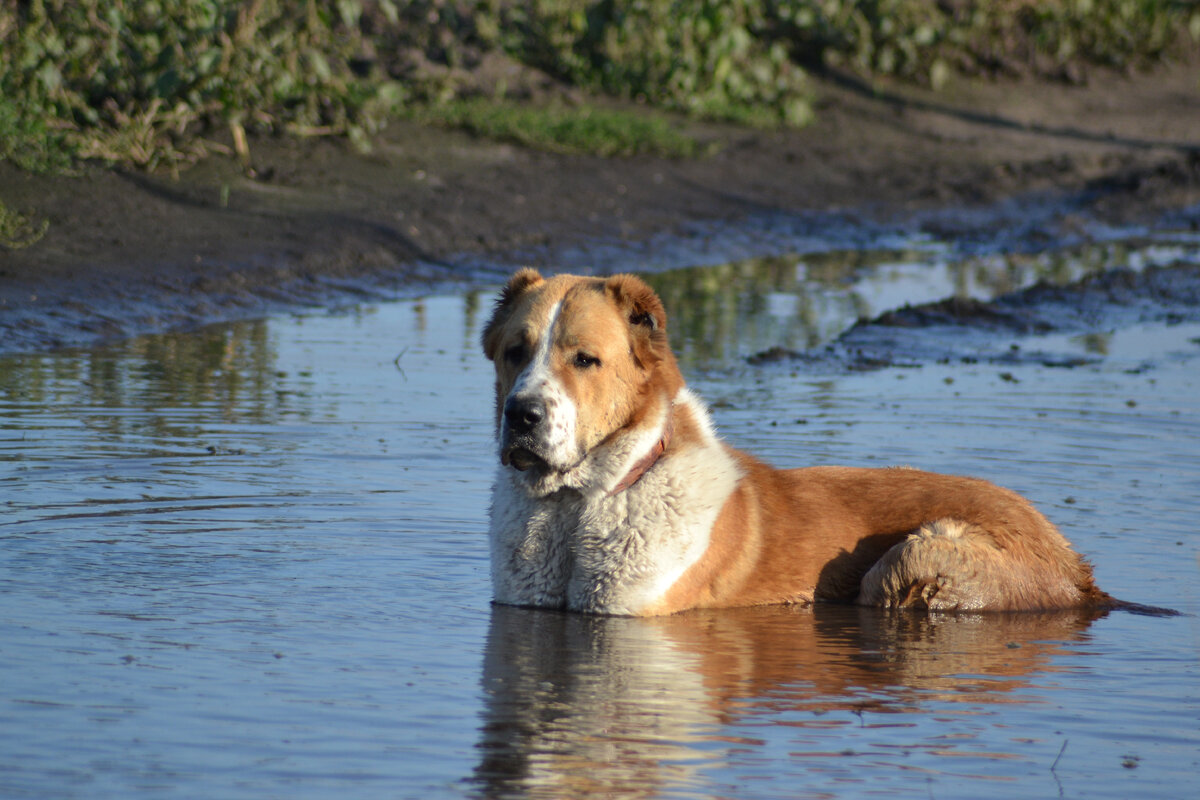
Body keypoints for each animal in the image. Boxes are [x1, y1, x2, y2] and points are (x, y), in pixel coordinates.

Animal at [480, 267, 1113, 614]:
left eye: (585, 359)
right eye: (515, 351)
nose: (522, 414)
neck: (573, 508)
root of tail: (1078, 568)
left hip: (910, 558)